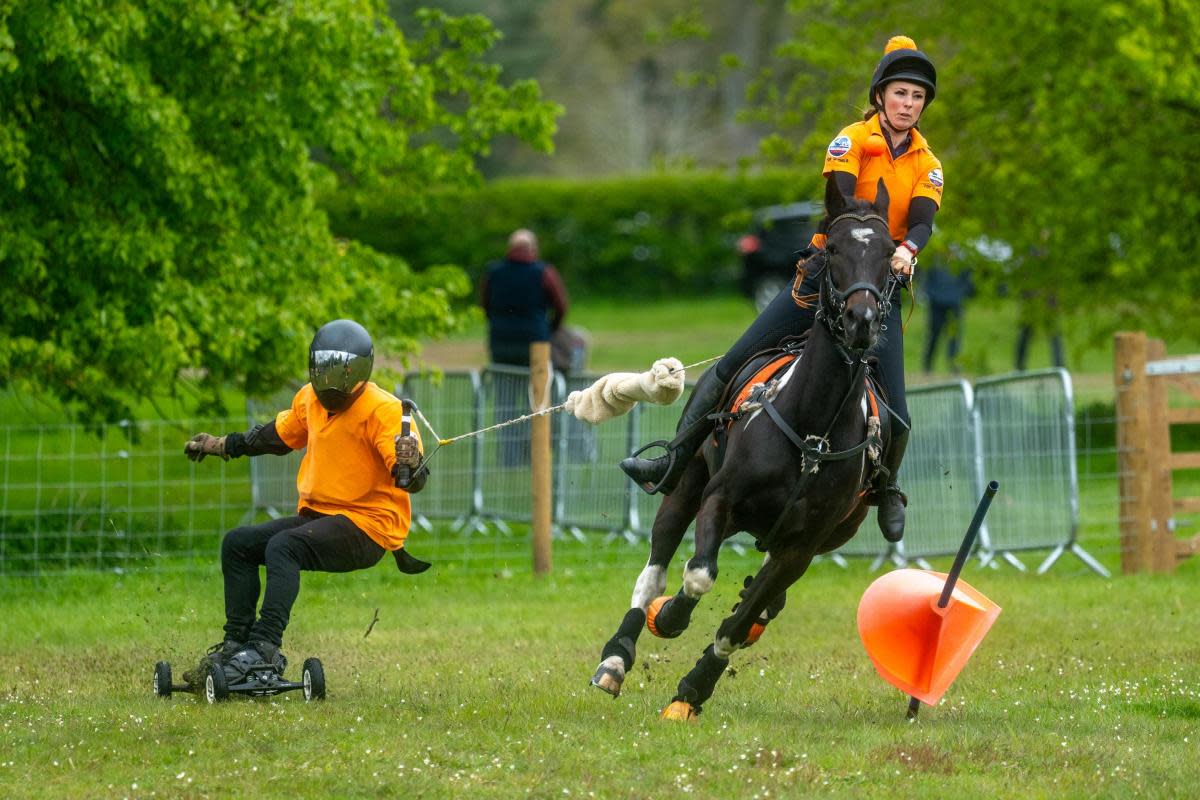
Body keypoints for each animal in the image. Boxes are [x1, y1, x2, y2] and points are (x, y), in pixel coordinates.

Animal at [590, 179, 902, 719]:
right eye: (834, 249)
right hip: (685, 485)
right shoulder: (720, 498)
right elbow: (697, 575)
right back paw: (616, 657)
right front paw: (670, 617)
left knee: (762, 601)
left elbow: (739, 622)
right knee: (656, 567)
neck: (813, 431)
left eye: (888, 253)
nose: (861, 320)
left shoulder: (801, 549)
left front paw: (694, 688)